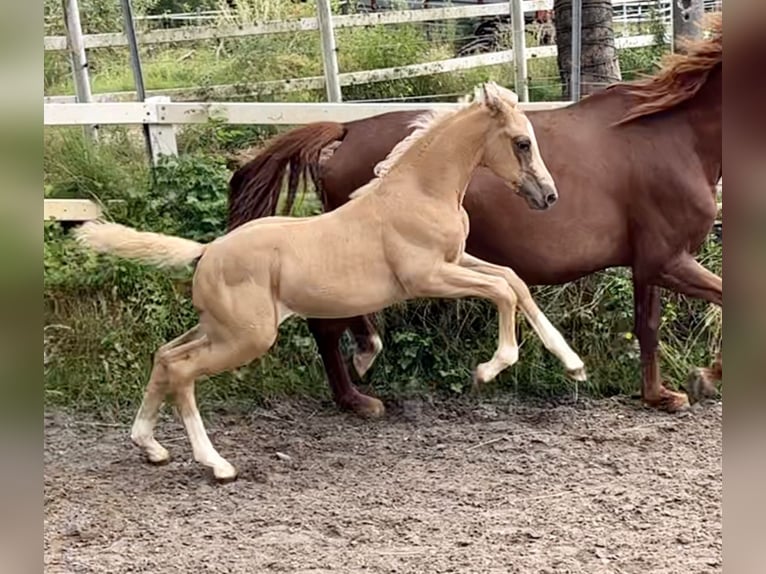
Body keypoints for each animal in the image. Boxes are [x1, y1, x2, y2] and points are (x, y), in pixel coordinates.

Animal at [75, 83, 584, 484]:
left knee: (165, 357)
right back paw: (216, 464)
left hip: (219, 328)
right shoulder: (429, 276)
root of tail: (206, 253)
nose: (549, 195)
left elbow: (513, 282)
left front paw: (573, 364)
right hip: (248, 338)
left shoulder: (457, 259)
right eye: (522, 143)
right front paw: (489, 369)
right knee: (182, 371)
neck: (419, 193)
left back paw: (150, 446)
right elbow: (502, 292)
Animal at [231, 14, 724, 418]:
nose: (548, 194)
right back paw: (357, 392)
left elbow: (648, 326)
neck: (676, 138)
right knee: (326, 324)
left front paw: (661, 395)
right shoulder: (668, 259)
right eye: (522, 143)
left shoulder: (649, 263)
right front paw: (704, 379)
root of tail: (347, 130)